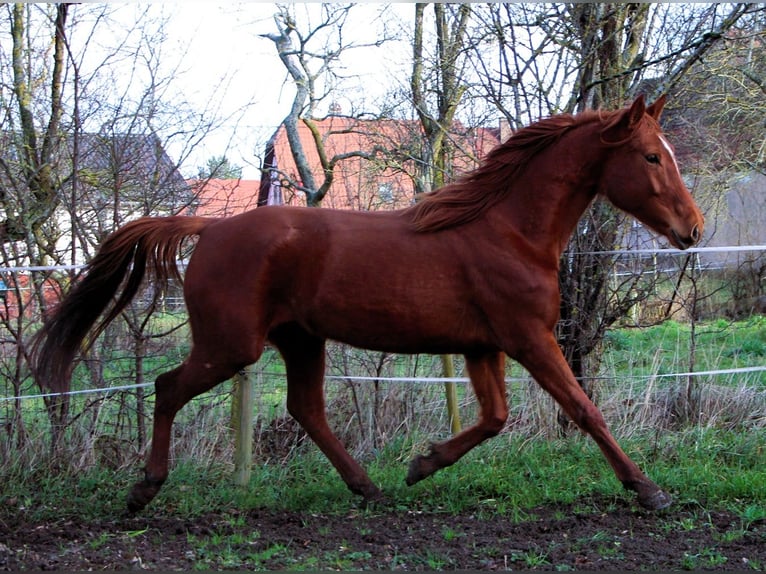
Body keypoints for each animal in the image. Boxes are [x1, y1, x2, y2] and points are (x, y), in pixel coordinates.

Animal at [33, 94, 703, 513]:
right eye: (651, 156)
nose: (692, 229)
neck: (509, 232)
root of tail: (209, 226)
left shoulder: (483, 346)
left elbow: (494, 418)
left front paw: (422, 464)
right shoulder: (529, 339)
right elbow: (584, 410)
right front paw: (647, 489)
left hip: (300, 339)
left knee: (305, 409)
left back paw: (369, 488)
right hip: (232, 345)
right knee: (169, 387)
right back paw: (144, 489)